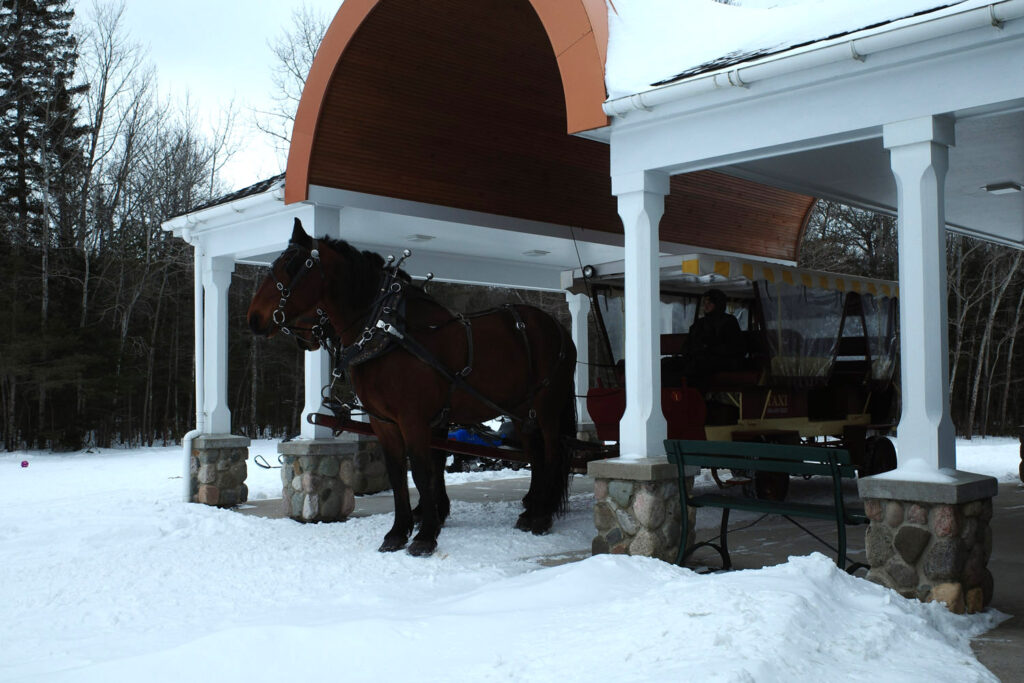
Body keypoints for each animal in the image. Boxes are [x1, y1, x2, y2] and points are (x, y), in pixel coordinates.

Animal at [246, 219, 577, 557]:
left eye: (291, 265)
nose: (254, 318)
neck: (386, 331)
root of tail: (558, 327)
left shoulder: (414, 419)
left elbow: (422, 470)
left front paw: (426, 535)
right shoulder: (385, 422)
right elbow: (398, 474)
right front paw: (398, 532)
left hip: (547, 407)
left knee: (552, 453)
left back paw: (543, 516)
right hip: (521, 410)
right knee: (535, 455)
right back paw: (531, 511)